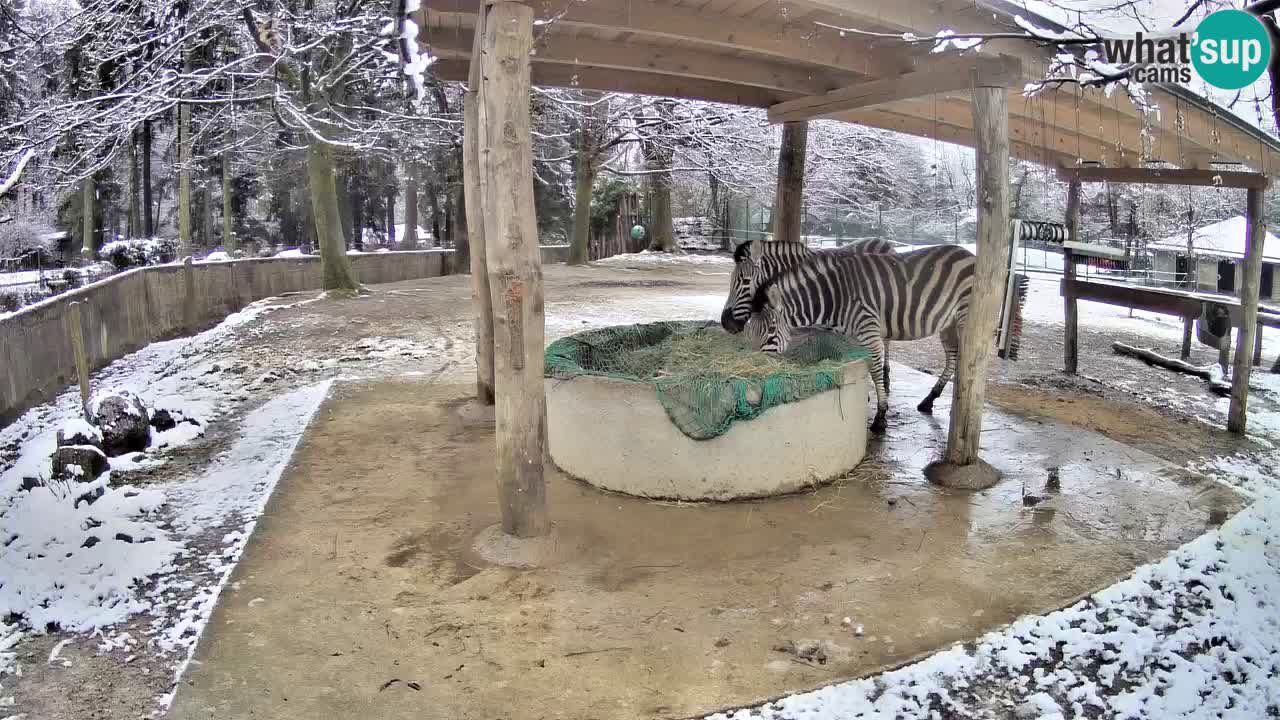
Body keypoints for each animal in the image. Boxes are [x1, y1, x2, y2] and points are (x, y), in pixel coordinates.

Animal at [747, 243, 972, 430]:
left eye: (771, 330)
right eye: (750, 331)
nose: (753, 375)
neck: (834, 297)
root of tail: (968, 254)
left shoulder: (869, 331)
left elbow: (875, 370)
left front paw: (880, 416)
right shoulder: (853, 337)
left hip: (962, 319)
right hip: (947, 324)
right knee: (953, 358)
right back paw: (930, 400)